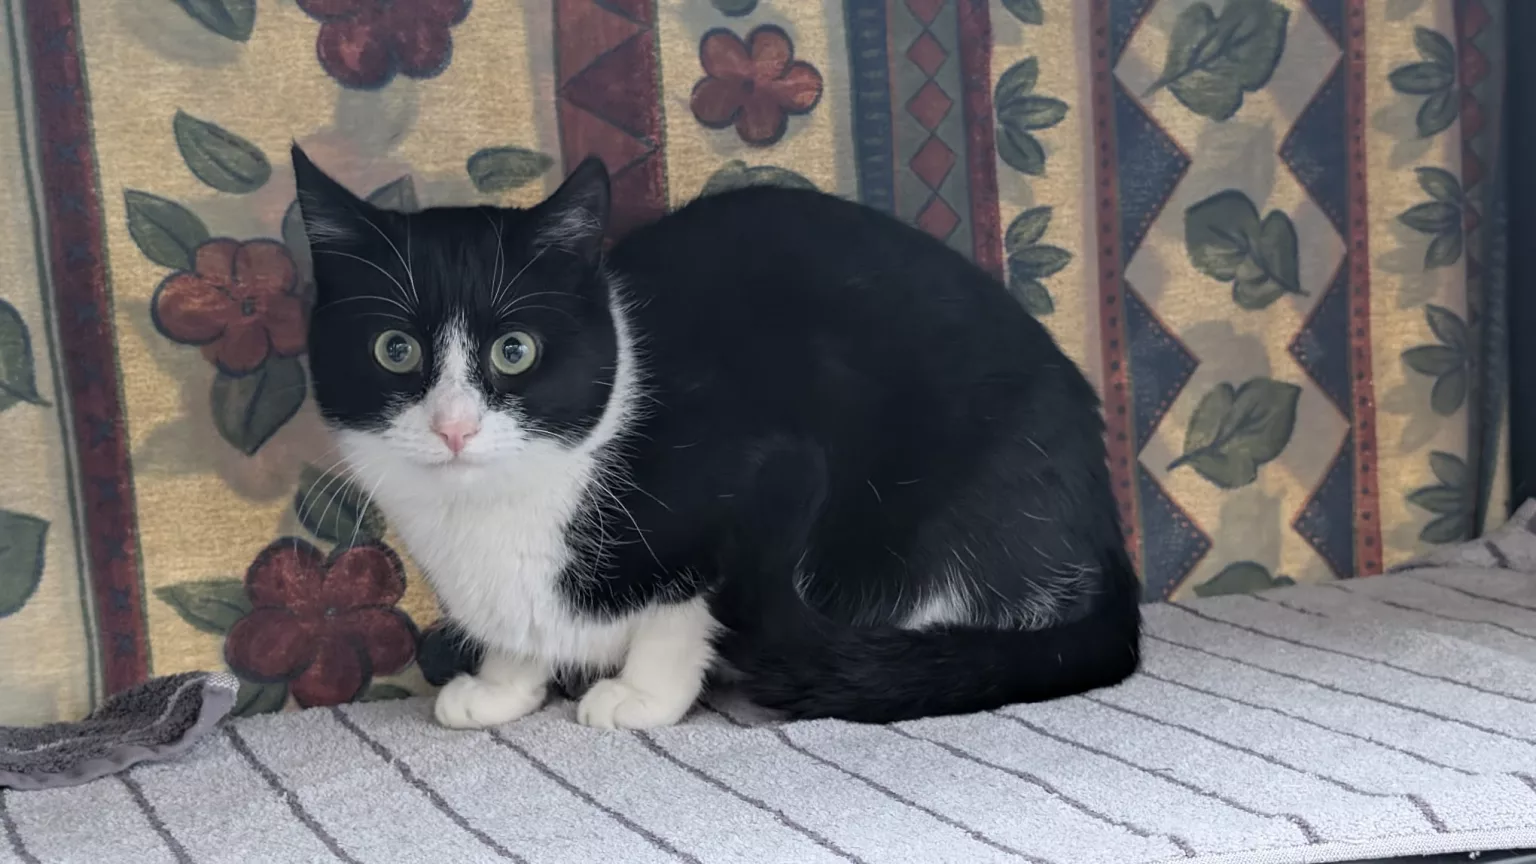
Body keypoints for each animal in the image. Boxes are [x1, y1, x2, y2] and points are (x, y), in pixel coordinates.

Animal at [293, 146, 1141, 729]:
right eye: (394, 350)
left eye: (515, 351)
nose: (455, 425)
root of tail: (1105, 532)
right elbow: (520, 629)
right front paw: (503, 687)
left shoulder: (728, 480)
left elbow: (685, 604)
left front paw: (641, 696)